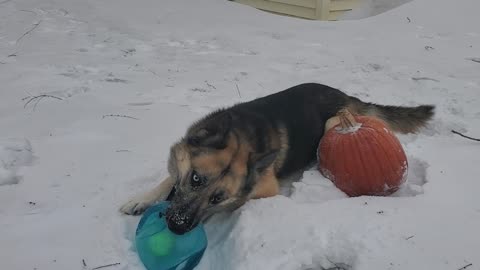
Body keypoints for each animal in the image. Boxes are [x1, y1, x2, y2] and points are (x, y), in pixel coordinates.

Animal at [121, 82, 436, 234]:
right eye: (196, 178)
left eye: (217, 198)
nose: (177, 227)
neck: (242, 137)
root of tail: (346, 96)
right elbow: (168, 179)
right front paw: (141, 198)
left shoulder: (265, 189)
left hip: (334, 123)